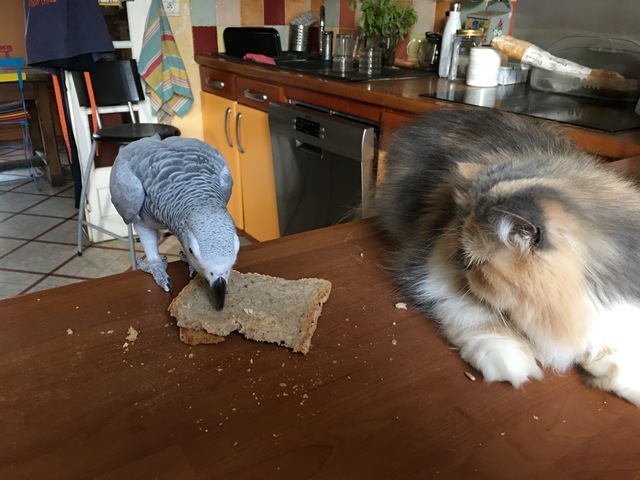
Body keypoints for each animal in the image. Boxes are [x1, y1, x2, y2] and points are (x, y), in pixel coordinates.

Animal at [370, 109, 640, 404]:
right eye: (461, 248)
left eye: (477, 262)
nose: (461, 263)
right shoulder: (428, 272)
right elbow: (479, 318)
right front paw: (510, 361)